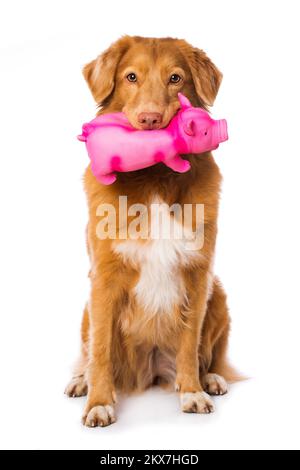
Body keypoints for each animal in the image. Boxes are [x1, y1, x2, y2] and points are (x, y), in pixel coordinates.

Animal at [64, 35, 238, 426]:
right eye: (131, 77)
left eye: (175, 78)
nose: (150, 119)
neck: (155, 174)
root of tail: (152, 370)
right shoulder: (104, 278)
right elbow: (100, 349)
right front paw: (99, 401)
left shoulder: (197, 274)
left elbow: (190, 343)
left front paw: (192, 392)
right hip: (85, 310)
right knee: (89, 350)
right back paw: (81, 380)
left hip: (219, 294)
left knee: (211, 354)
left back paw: (211, 378)